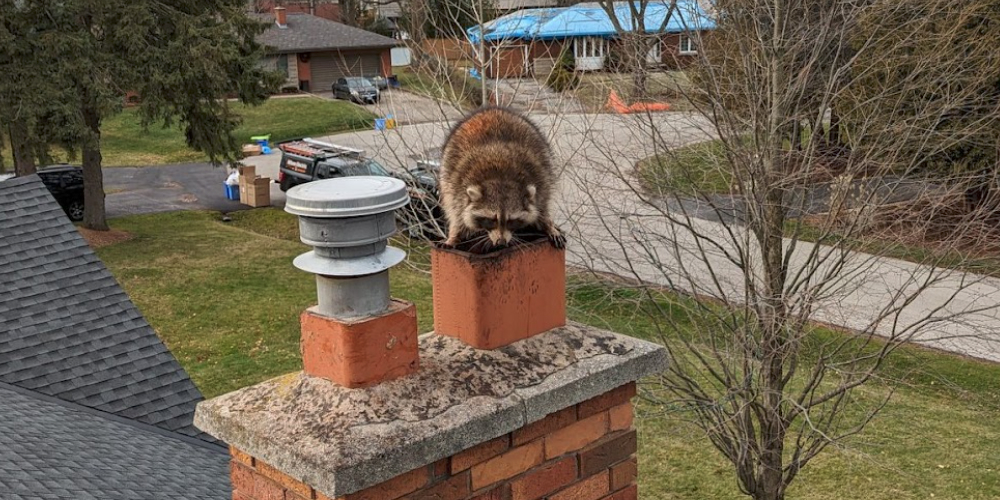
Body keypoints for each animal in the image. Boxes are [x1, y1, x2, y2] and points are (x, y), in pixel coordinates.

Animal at [438, 108, 564, 252]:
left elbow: (542, 208)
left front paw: (548, 226)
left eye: (511, 220)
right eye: (492, 219)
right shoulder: (457, 186)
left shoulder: (541, 180)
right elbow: (458, 215)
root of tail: (492, 110)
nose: (501, 242)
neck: (501, 178)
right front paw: (454, 236)